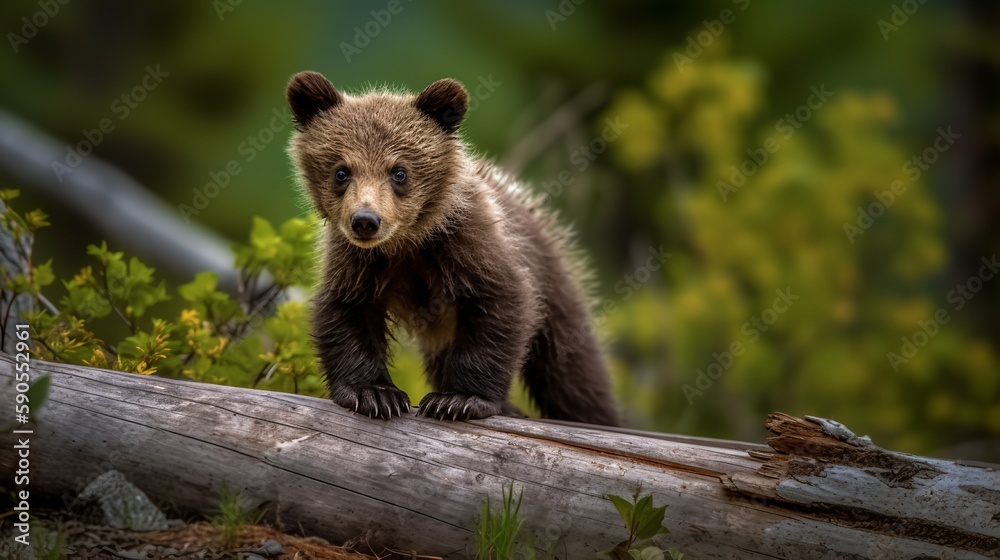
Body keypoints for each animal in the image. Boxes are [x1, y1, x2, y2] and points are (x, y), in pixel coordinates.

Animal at [286, 71, 619, 425]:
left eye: (399, 171)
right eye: (341, 171)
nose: (365, 220)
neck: (408, 242)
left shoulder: (470, 247)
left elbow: (500, 304)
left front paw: (458, 399)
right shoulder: (358, 262)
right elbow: (347, 309)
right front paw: (375, 394)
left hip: (552, 276)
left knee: (571, 368)